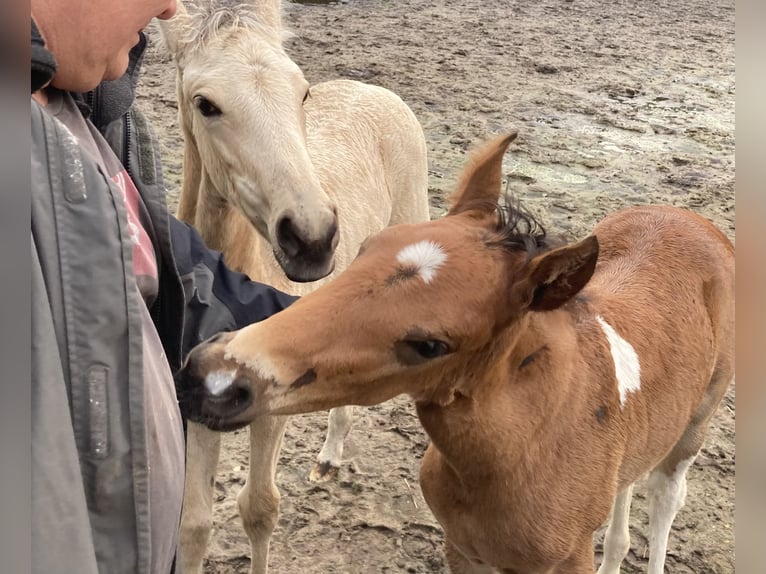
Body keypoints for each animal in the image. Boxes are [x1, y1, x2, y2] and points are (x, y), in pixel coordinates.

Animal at [158, 1, 430, 572]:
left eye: (302, 91)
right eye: (205, 104)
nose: (312, 238)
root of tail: (374, 90)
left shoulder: (271, 405)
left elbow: (259, 507)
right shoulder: (195, 403)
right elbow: (193, 525)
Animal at [174, 132, 735, 573]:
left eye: (430, 345)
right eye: (366, 248)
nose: (212, 377)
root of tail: (687, 218)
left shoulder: (564, 561)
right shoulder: (463, 549)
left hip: (694, 427)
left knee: (665, 498)